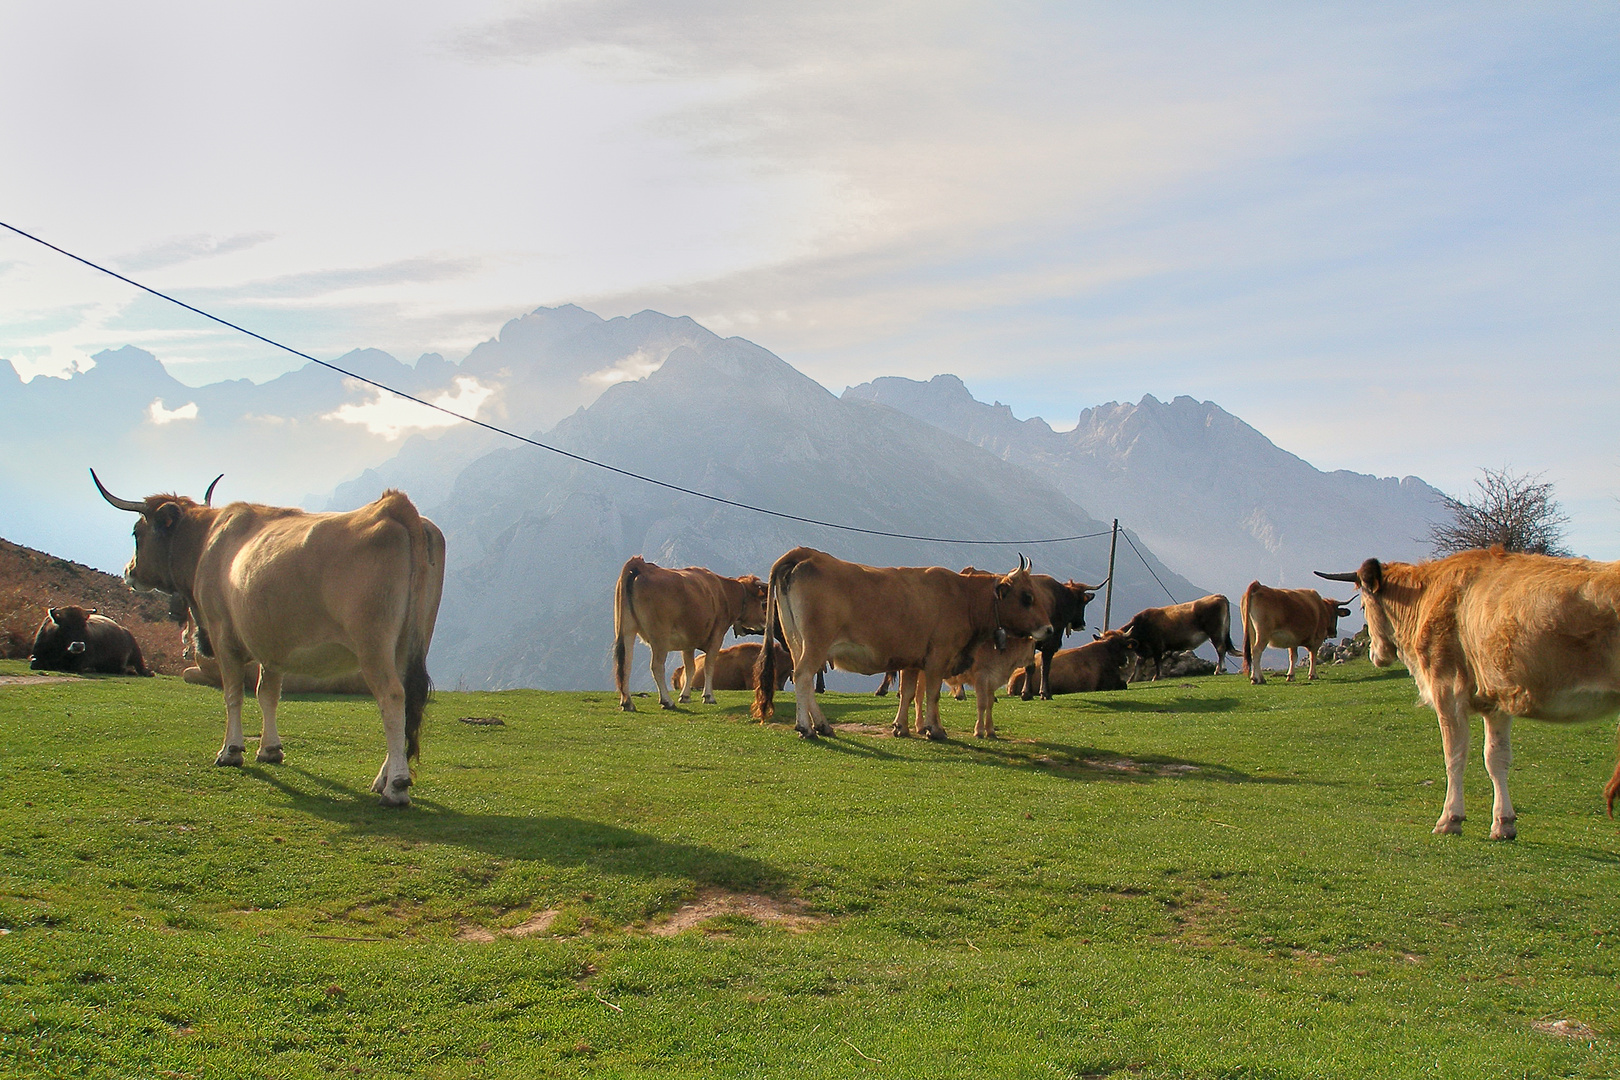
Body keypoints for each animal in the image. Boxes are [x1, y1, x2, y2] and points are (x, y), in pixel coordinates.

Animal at [94, 469, 450, 806]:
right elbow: (268, 694)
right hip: (408, 644)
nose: (129, 572)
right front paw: (270, 749)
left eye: (137, 532)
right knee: (408, 701)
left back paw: (396, 787)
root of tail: (394, 506)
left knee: (392, 698)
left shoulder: (223, 635)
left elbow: (233, 694)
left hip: (373, 645)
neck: (206, 542)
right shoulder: (272, 644)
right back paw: (383, 778)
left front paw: (230, 751)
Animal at [751, 550, 1056, 744]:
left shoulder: (912, 660)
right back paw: (807, 728)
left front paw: (902, 727)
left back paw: (824, 725)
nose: (1049, 629)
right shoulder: (937, 658)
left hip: (796, 642)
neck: (963, 597)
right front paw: (935, 729)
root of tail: (806, 554)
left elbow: (908, 694)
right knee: (803, 677)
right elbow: (932, 695)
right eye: (1027, 597)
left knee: (802, 678)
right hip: (815, 643)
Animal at [1023, 573, 1101, 702]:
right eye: (1083, 603)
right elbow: (1045, 666)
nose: (1082, 624)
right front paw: (1044, 693)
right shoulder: (1051, 642)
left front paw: (1028, 693)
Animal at [1315, 550, 1620, 841]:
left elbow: (1454, 755)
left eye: (1364, 606)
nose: (1374, 655)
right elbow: (1496, 758)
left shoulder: (1447, 689)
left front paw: (1450, 819)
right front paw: (1503, 823)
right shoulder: (1497, 700)